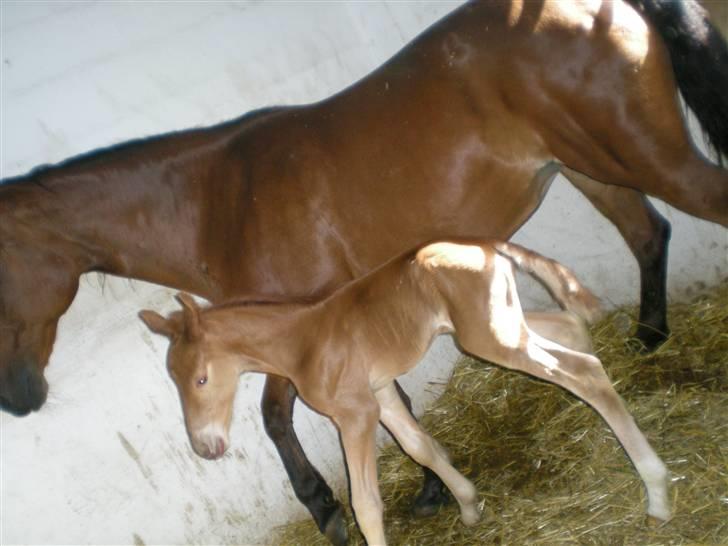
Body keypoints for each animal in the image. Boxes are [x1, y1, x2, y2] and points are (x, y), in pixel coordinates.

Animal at [142, 240, 672, 540]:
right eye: (172, 378)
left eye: (201, 379)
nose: (206, 448)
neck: (302, 341)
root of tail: (487, 243)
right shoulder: (379, 394)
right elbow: (422, 447)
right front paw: (468, 505)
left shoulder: (354, 413)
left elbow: (366, 503)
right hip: (496, 327)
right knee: (571, 329)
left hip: (490, 337)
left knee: (583, 371)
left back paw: (657, 494)